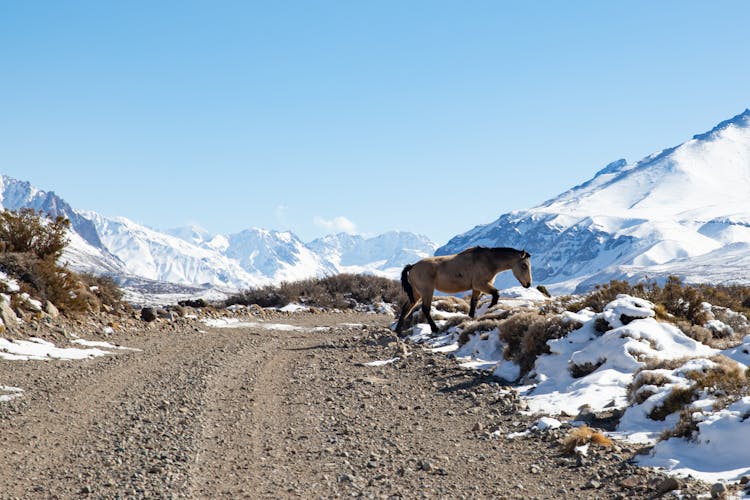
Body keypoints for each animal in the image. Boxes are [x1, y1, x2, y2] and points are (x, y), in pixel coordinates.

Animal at [396, 247, 532, 334]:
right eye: (524, 266)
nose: (528, 284)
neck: (489, 260)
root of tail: (412, 266)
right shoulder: (481, 284)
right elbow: (496, 294)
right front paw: (491, 306)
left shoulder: (476, 288)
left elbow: (473, 304)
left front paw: (470, 319)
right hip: (426, 291)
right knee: (425, 309)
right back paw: (435, 329)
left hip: (416, 293)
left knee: (406, 308)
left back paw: (398, 331)